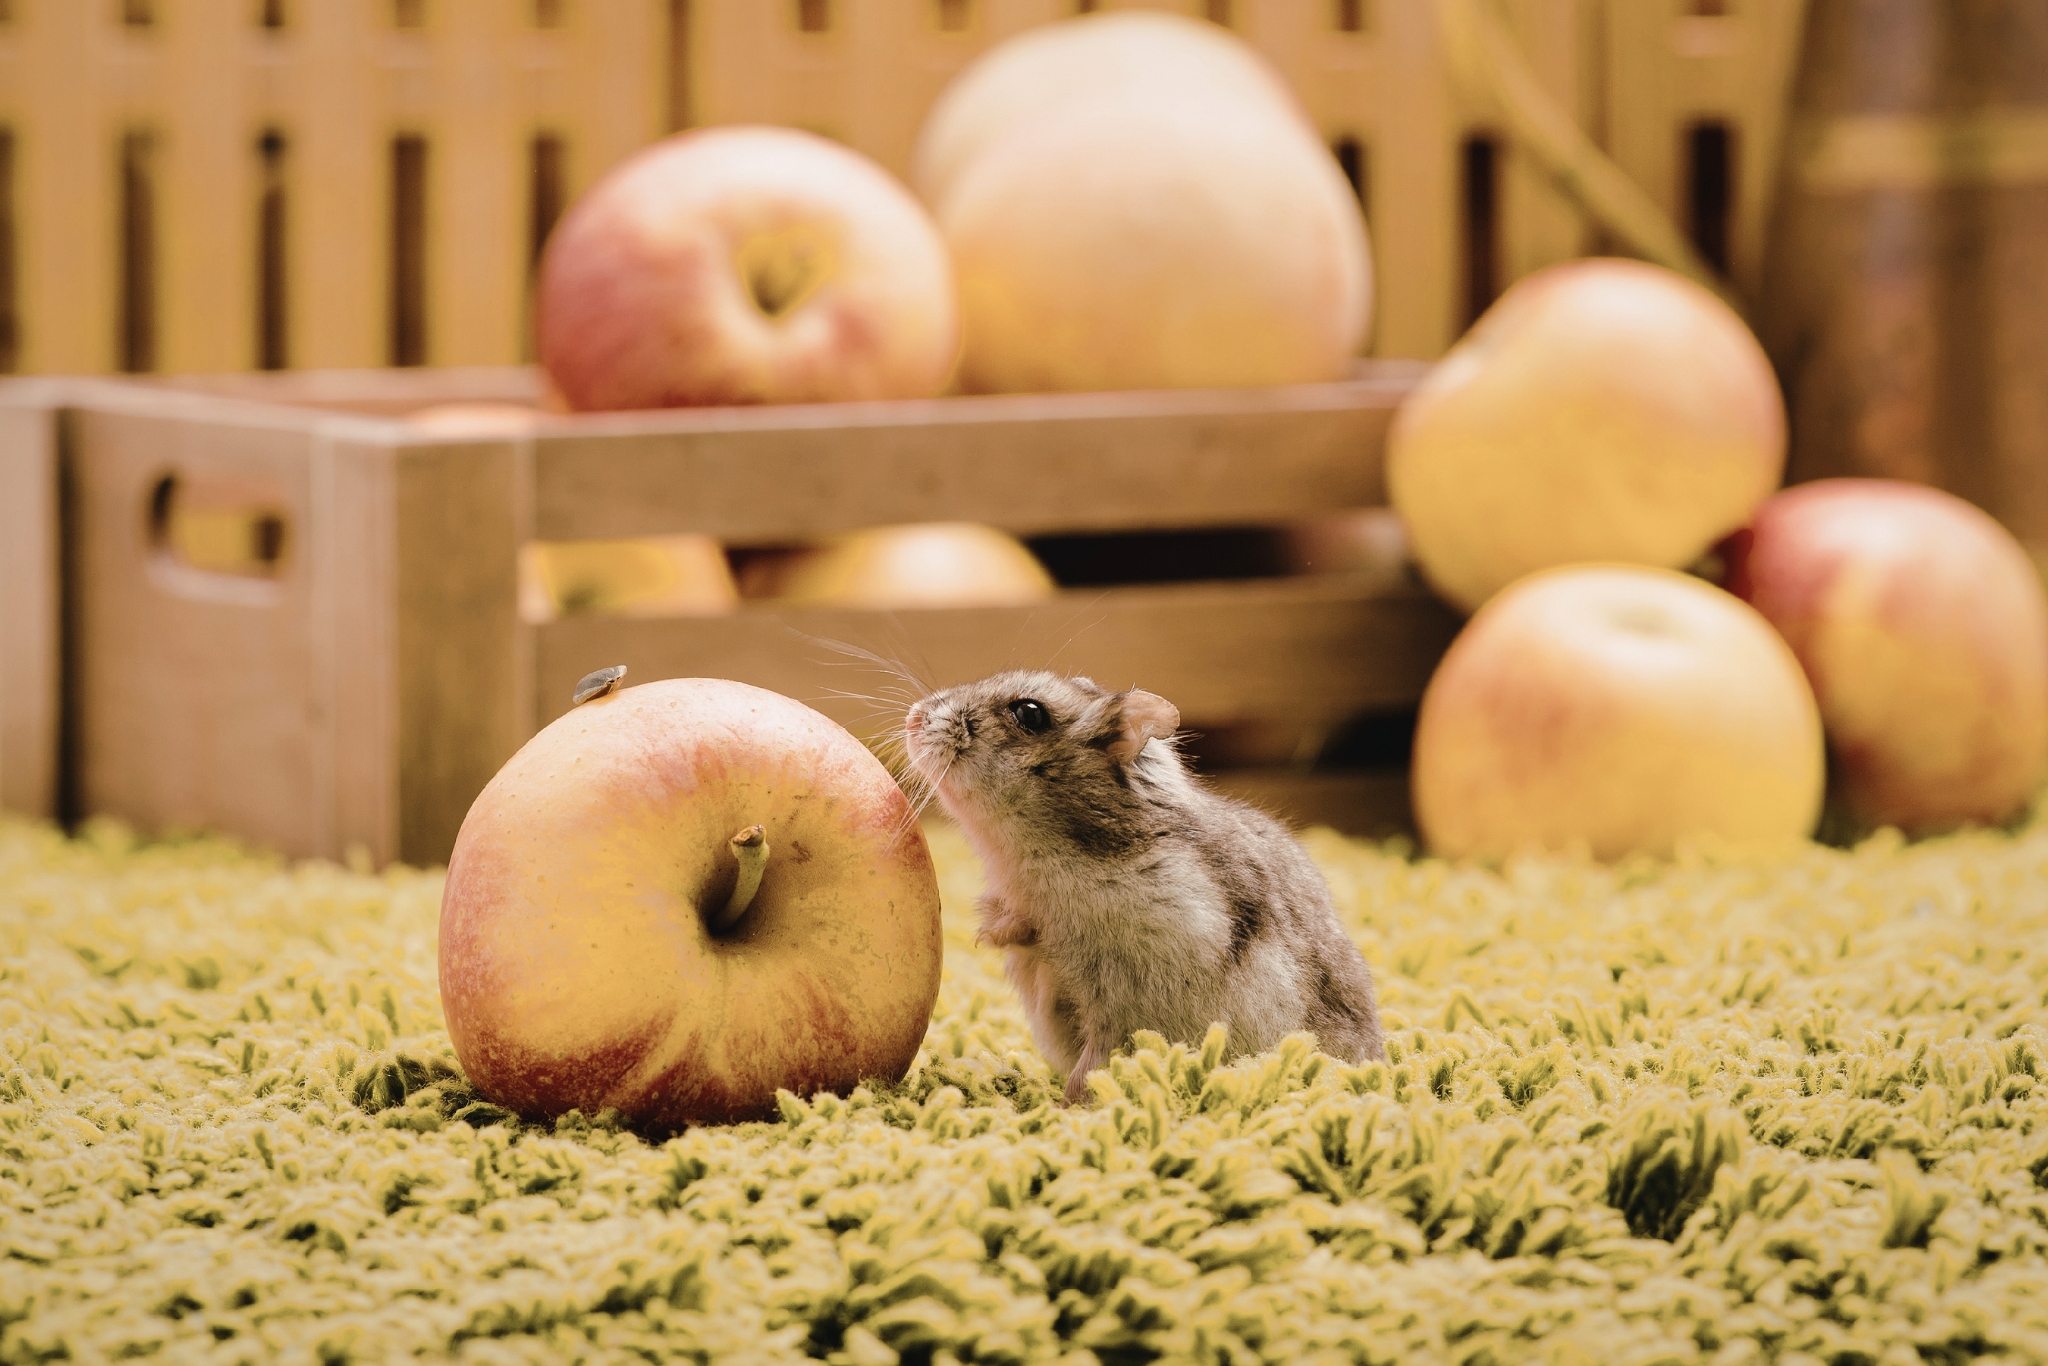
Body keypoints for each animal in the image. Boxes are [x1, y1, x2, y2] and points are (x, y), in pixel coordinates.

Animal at [903, 669, 1384, 1104]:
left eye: (1030, 713)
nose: (913, 717)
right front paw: (988, 935)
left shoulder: (1126, 1002)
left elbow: (1094, 1062)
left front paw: (1067, 1108)